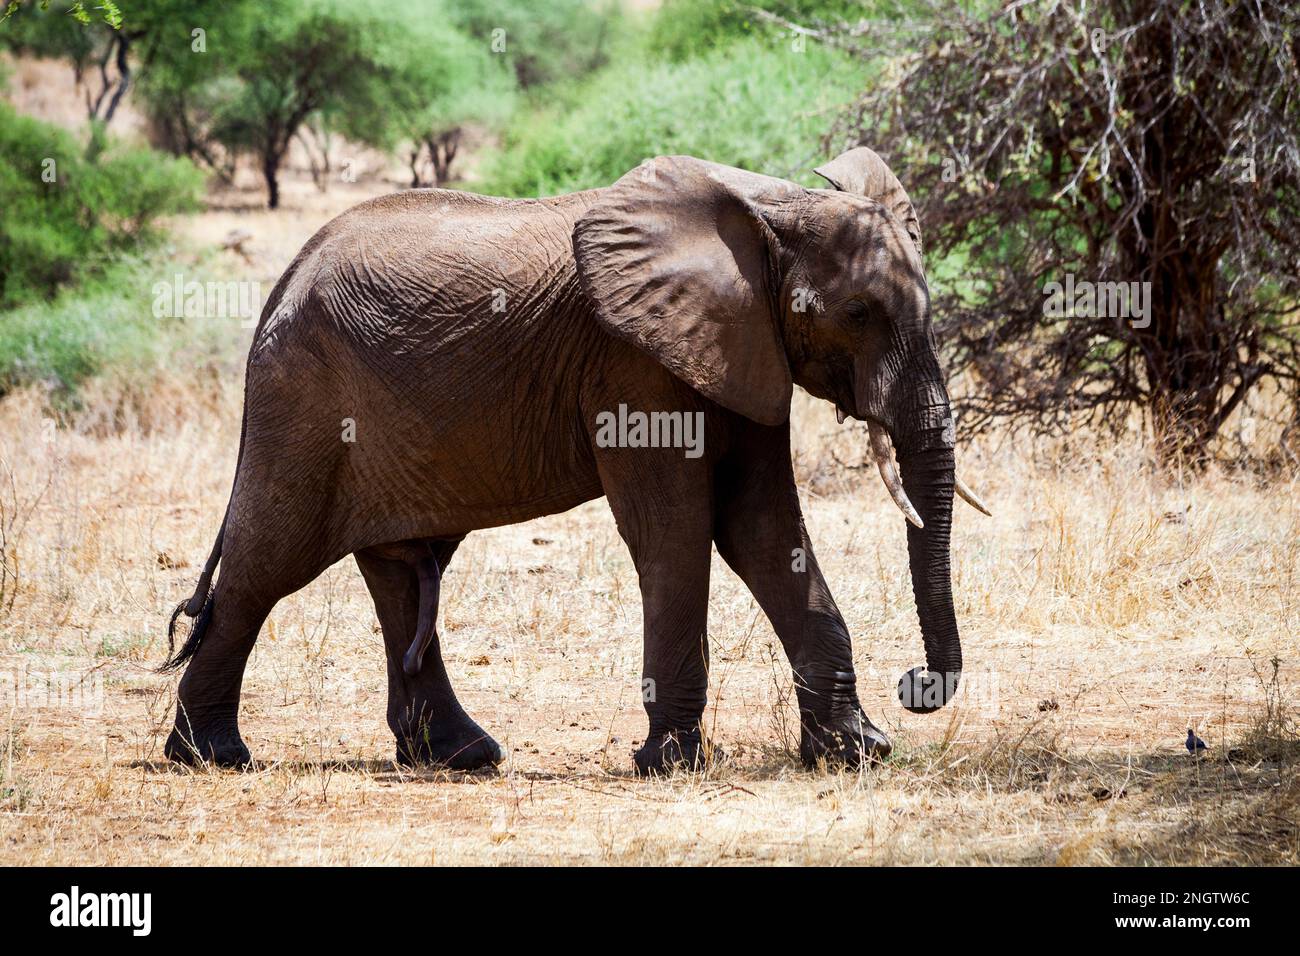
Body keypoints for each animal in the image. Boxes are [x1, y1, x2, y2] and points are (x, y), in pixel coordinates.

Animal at [165, 149, 993, 780]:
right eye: (858, 314)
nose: (917, 683)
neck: (770, 208)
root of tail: (283, 280)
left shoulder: (743, 350)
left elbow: (762, 530)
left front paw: (859, 751)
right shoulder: (636, 363)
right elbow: (676, 532)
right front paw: (669, 763)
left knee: (400, 571)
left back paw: (460, 757)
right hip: (301, 399)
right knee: (266, 564)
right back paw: (212, 756)